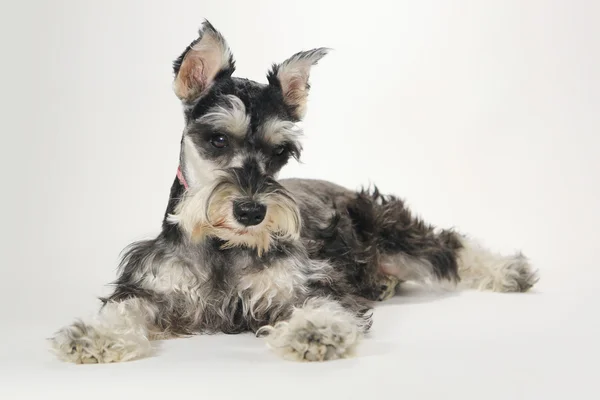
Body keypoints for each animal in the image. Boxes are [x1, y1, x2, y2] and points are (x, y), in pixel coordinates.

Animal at [50, 21, 540, 366]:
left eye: (280, 151)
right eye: (217, 140)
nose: (251, 211)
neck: (223, 245)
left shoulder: (307, 283)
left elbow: (324, 303)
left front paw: (316, 332)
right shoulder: (151, 287)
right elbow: (123, 310)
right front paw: (93, 336)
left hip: (390, 231)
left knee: (448, 246)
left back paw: (510, 271)